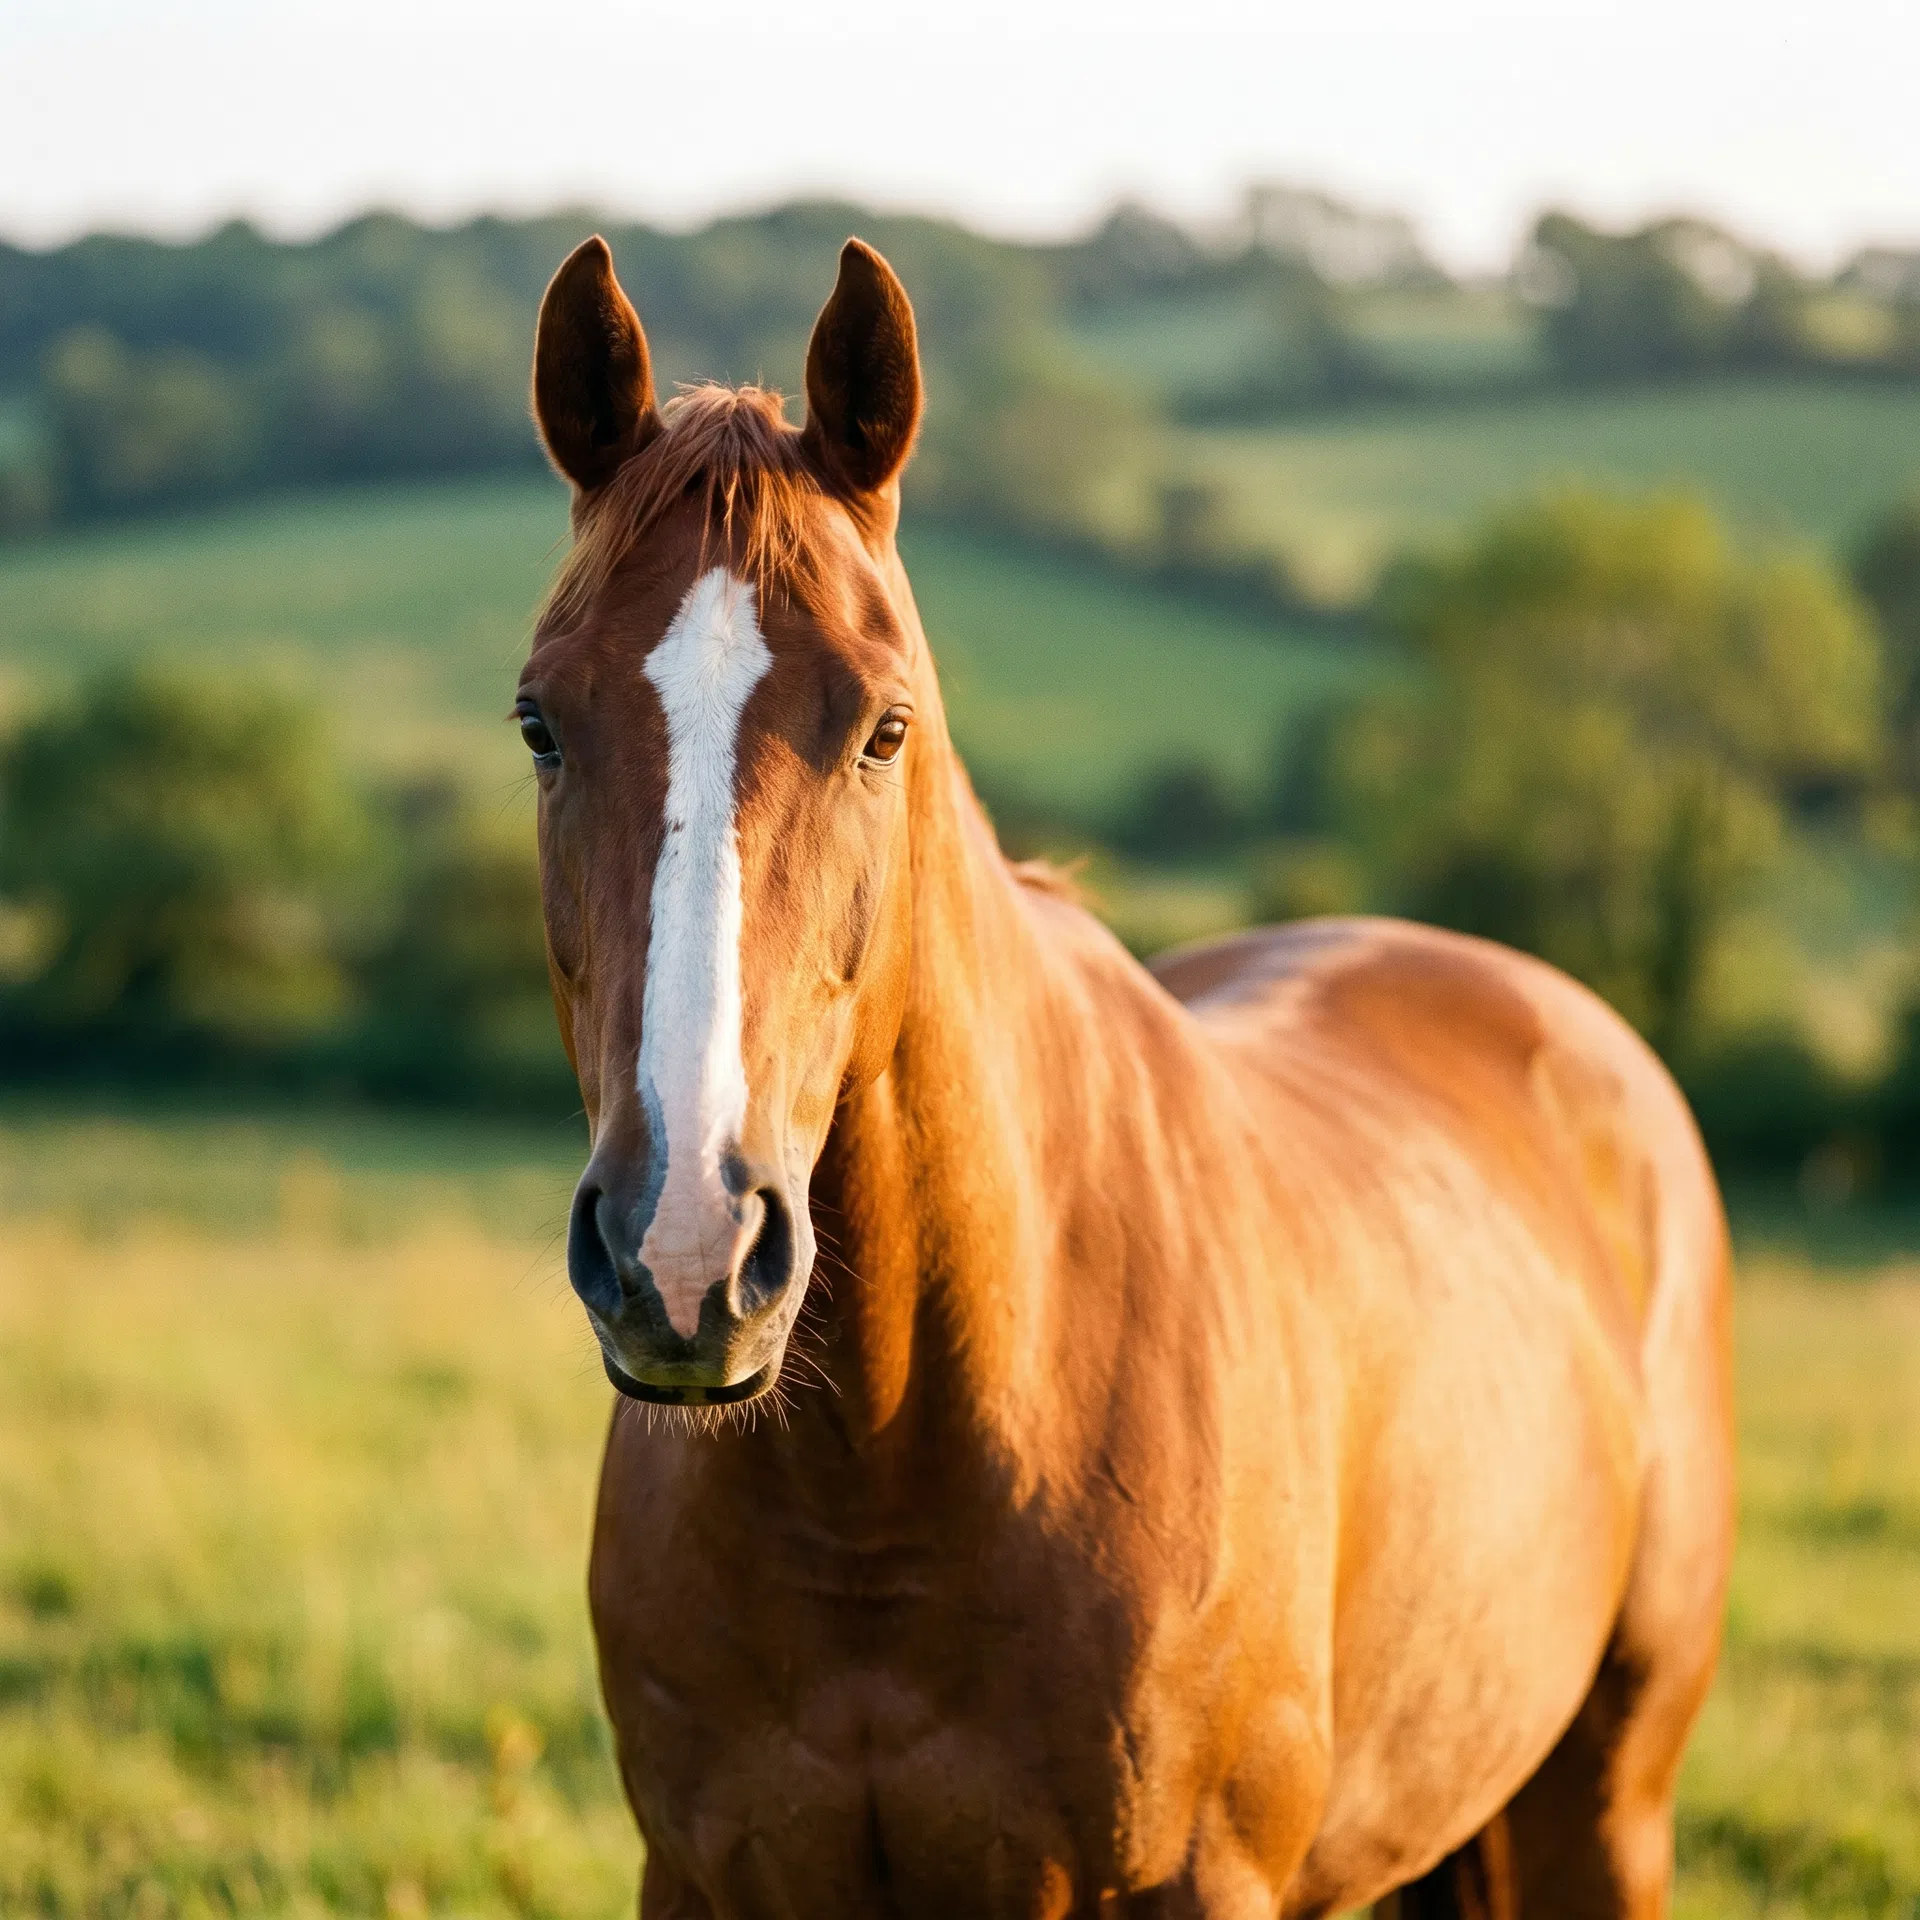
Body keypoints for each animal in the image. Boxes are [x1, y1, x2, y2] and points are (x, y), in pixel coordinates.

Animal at [516, 232, 1735, 1918]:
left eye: (884, 726)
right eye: (541, 724)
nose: (686, 1254)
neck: (885, 1480)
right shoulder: (702, 1877)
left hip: (1605, 1809)